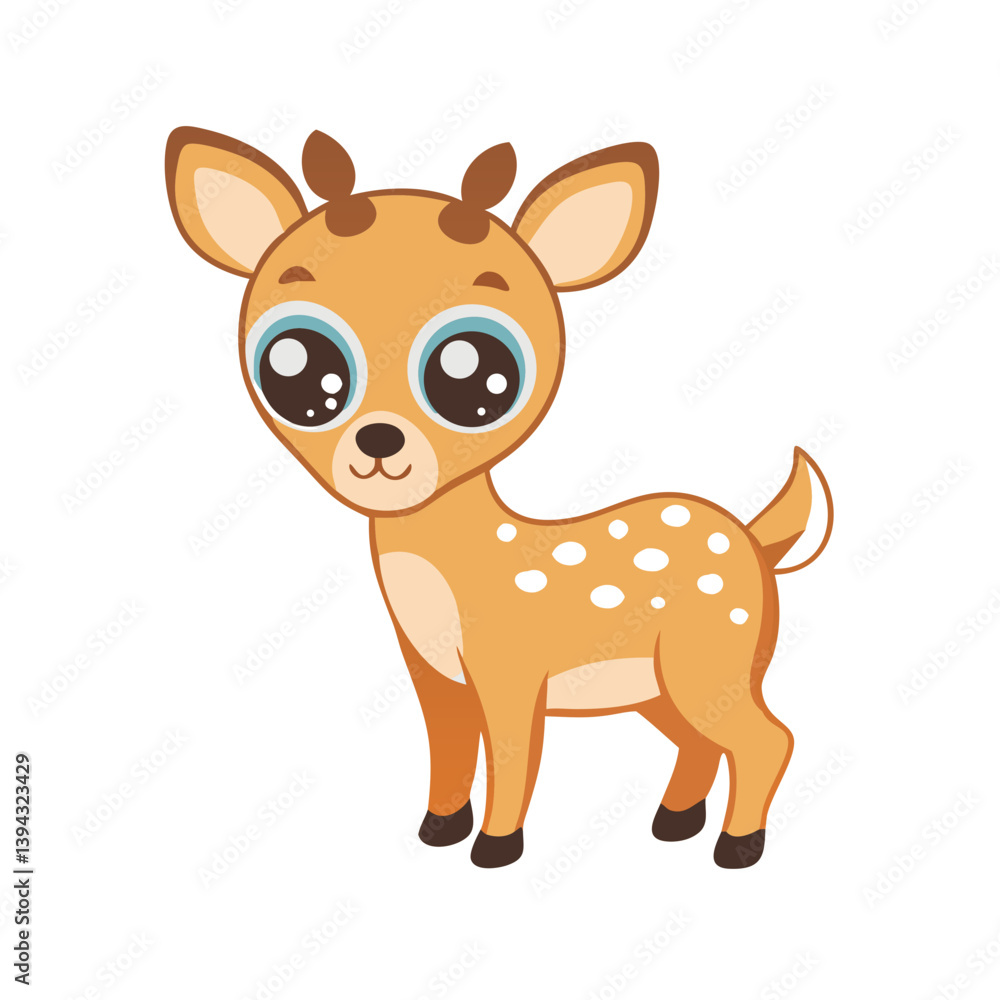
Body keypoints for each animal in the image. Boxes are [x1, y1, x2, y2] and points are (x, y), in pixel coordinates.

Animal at [165, 127, 832, 869]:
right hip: (661, 681)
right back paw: (674, 822)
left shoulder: (510, 669)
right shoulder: (434, 678)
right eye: (295, 365)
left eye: (478, 373)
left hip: (709, 658)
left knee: (769, 738)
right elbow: (449, 751)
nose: (379, 440)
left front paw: (495, 846)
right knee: (702, 741)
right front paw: (438, 830)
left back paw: (737, 846)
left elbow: (512, 753)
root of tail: (756, 539)